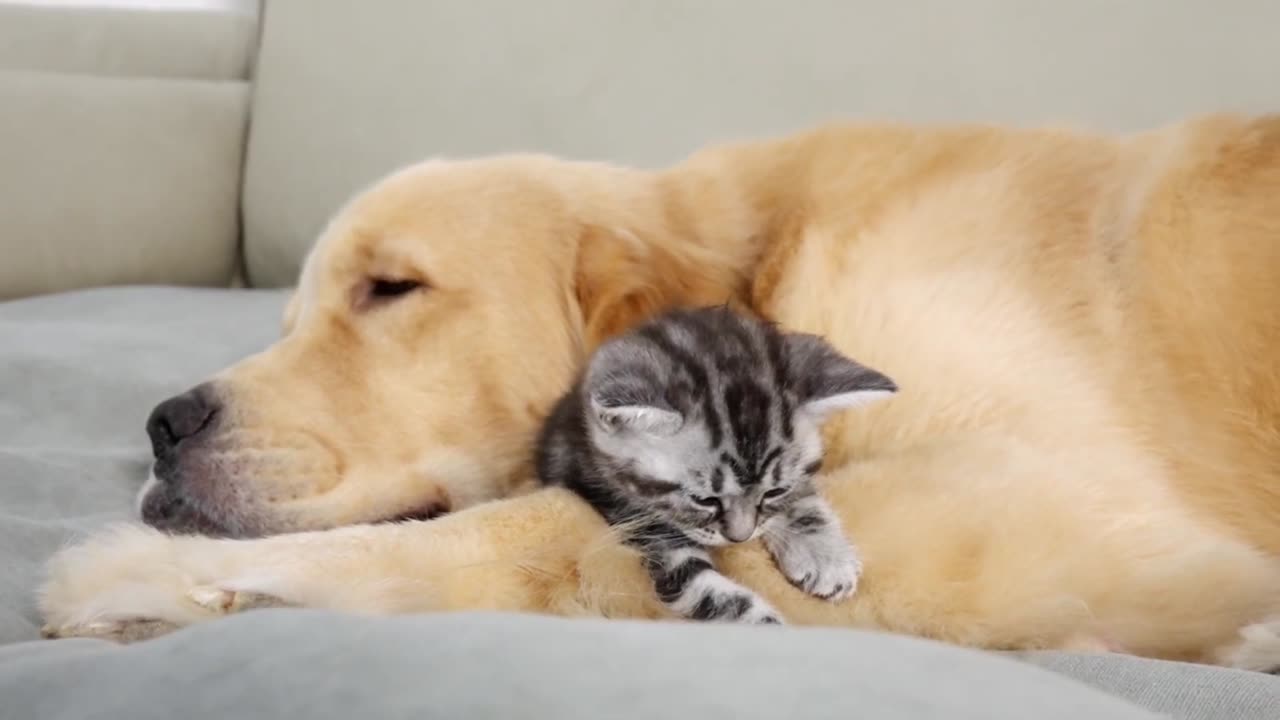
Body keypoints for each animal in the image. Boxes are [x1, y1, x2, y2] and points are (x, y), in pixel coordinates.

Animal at [535, 304, 896, 620]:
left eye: (773, 492)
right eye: (704, 500)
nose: (741, 538)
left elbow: (800, 496)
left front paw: (824, 554)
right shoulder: (639, 527)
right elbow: (707, 593)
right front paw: (766, 627)